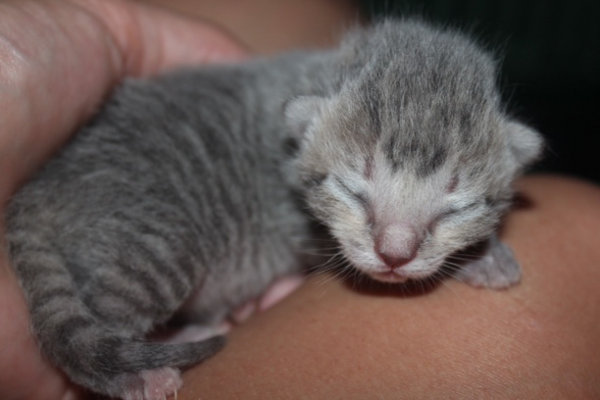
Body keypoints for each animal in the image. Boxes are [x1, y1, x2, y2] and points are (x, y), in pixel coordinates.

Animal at [3, 18, 540, 400]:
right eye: (353, 191)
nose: (394, 254)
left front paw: (482, 253)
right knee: (105, 320)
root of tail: (36, 193)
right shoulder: (299, 225)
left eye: (455, 208)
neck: (329, 70)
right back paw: (140, 376)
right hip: (159, 242)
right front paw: (482, 259)